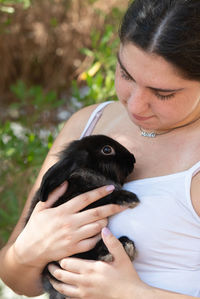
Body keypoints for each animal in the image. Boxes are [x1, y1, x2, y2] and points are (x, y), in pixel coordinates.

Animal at [26, 136, 139, 299]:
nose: (133, 159)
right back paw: (117, 247)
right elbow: (106, 197)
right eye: (107, 149)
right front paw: (129, 198)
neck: (87, 172)